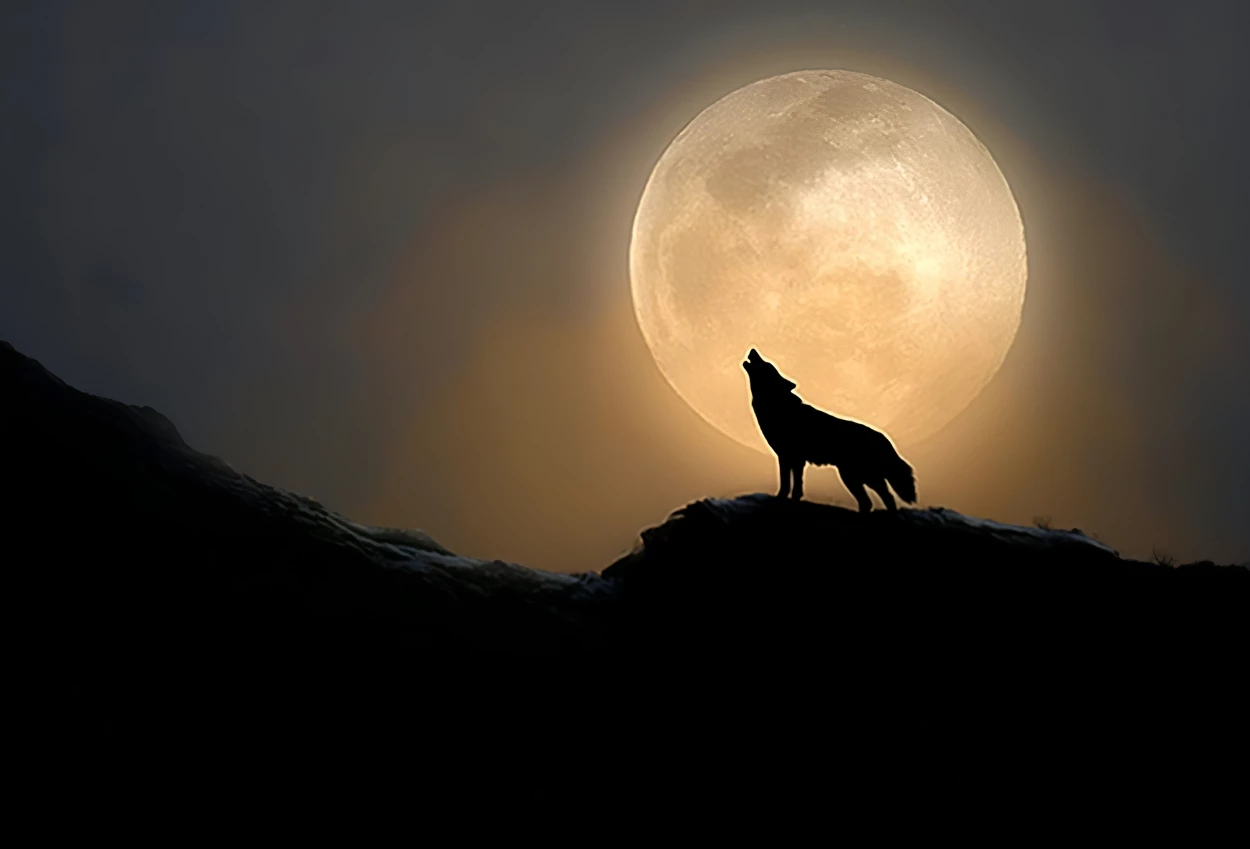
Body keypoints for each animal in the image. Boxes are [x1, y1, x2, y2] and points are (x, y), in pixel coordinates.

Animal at [742, 348, 917, 511]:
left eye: (767, 365)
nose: (753, 350)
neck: (777, 405)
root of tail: (884, 439)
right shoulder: (790, 459)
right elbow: (794, 486)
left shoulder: (791, 458)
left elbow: (788, 486)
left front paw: (780, 501)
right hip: (852, 477)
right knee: (869, 502)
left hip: (861, 478)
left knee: (886, 498)